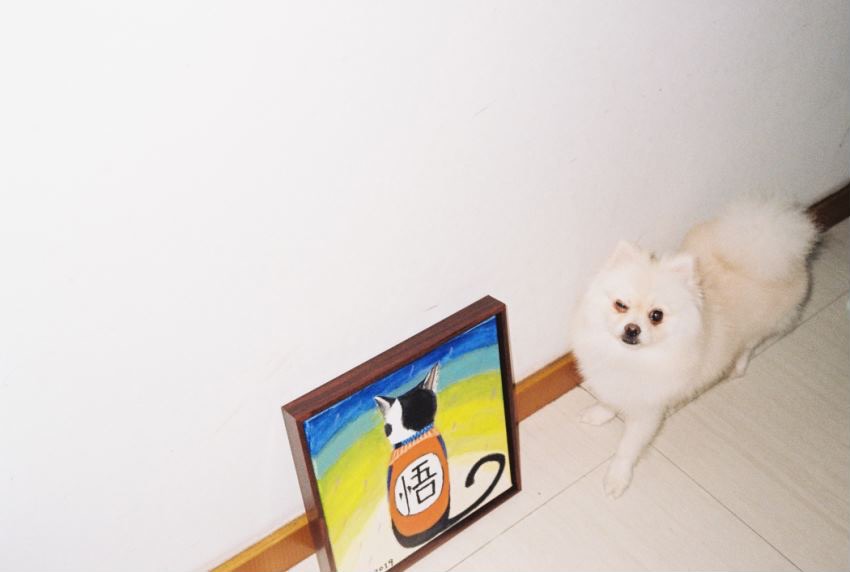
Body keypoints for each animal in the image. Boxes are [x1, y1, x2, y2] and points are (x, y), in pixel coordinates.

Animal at [571, 199, 818, 498]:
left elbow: (628, 448)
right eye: (621, 305)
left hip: (763, 325)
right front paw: (599, 414)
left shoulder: (648, 412)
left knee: (750, 344)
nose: (632, 329)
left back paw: (737, 367)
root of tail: (771, 239)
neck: (630, 358)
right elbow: (608, 401)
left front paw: (617, 478)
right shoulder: (613, 383)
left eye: (656, 315)